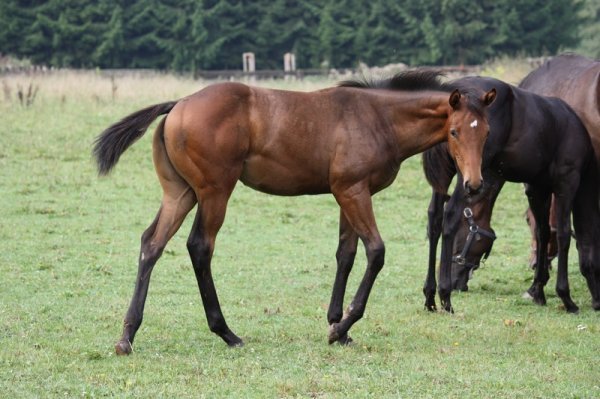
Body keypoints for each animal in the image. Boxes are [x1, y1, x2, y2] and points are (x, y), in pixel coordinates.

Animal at [95, 72, 496, 356]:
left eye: (487, 132)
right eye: (455, 132)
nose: (474, 183)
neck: (378, 118)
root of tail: (179, 104)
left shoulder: (350, 192)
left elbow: (346, 254)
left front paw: (336, 325)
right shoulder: (353, 191)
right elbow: (376, 252)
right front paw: (344, 325)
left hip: (180, 192)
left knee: (152, 243)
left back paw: (127, 336)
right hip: (214, 191)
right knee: (199, 246)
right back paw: (226, 332)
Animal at [420, 75, 600, 316]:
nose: (598, 302)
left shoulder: (537, 189)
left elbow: (543, 232)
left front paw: (537, 290)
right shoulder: (567, 184)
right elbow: (563, 234)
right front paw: (566, 298)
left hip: (445, 178)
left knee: (435, 219)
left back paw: (430, 294)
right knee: (450, 215)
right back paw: (444, 295)